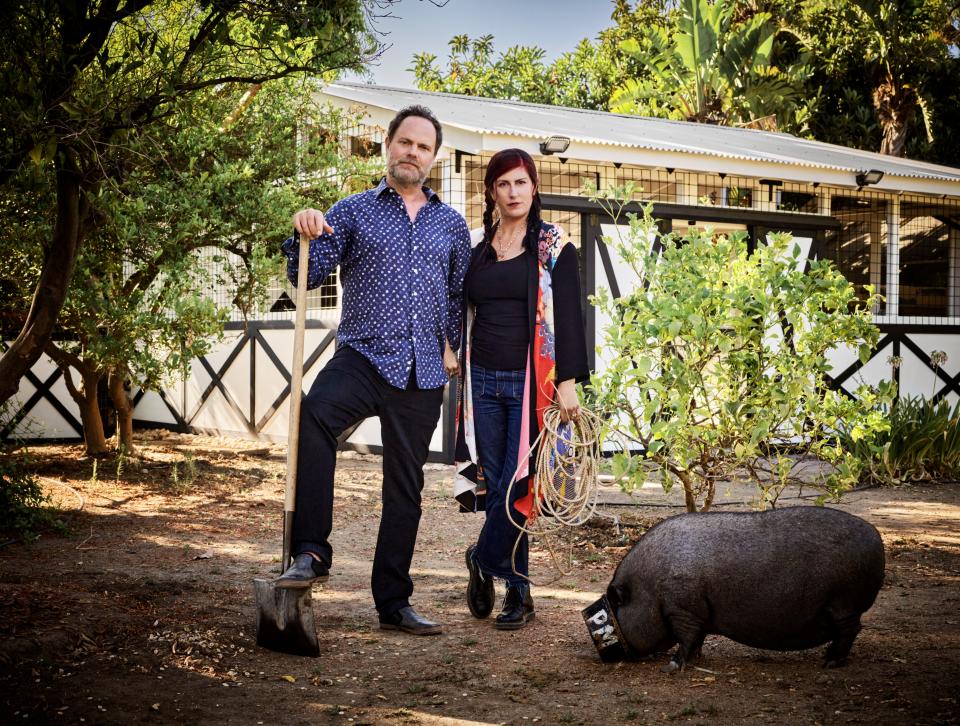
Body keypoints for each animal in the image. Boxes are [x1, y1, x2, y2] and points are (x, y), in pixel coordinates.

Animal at [600, 506, 884, 672]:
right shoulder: (698, 614)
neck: (649, 588)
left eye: (616, 602)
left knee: (851, 629)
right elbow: (698, 637)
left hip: (844, 602)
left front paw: (672, 667)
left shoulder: (683, 609)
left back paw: (830, 662)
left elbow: (687, 637)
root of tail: (876, 537)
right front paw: (697, 658)